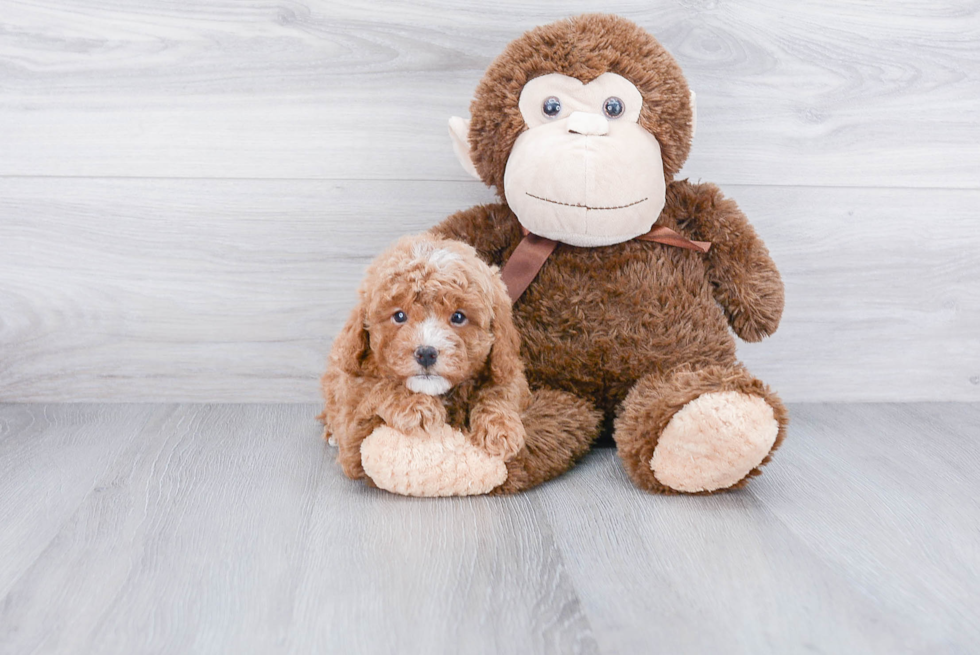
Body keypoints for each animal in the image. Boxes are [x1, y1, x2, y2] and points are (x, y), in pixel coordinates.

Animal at [322, 234, 528, 482]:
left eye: (458, 317)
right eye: (399, 316)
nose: (426, 353)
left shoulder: (508, 370)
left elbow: (500, 389)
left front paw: (500, 427)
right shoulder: (353, 434)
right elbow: (378, 388)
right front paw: (416, 406)